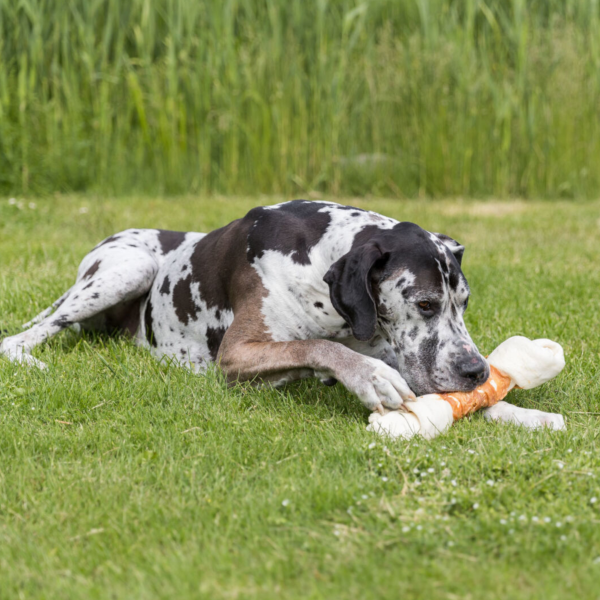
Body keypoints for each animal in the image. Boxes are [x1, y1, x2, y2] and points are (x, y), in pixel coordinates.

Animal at [0, 202, 564, 426]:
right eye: (425, 303)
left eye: (463, 302)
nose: (476, 371)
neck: (318, 261)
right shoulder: (238, 354)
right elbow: (317, 345)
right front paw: (366, 377)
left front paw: (521, 412)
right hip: (128, 267)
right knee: (22, 337)